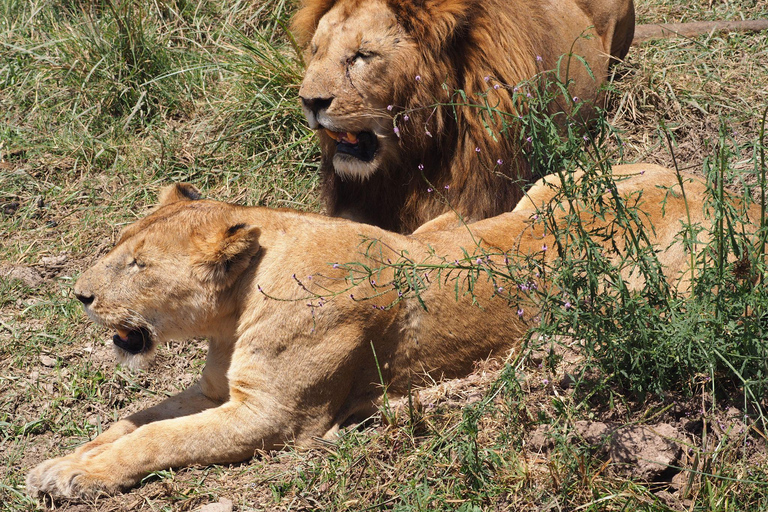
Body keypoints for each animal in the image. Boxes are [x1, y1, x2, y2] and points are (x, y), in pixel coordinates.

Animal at [25, 164, 752, 496]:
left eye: (139, 265)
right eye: (120, 248)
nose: (81, 294)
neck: (233, 314)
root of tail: (733, 193)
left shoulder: (274, 417)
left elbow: (160, 439)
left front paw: (80, 475)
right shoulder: (215, 392)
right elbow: (132, 420)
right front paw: (64, 459)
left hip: (660, 279)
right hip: (551, 184)